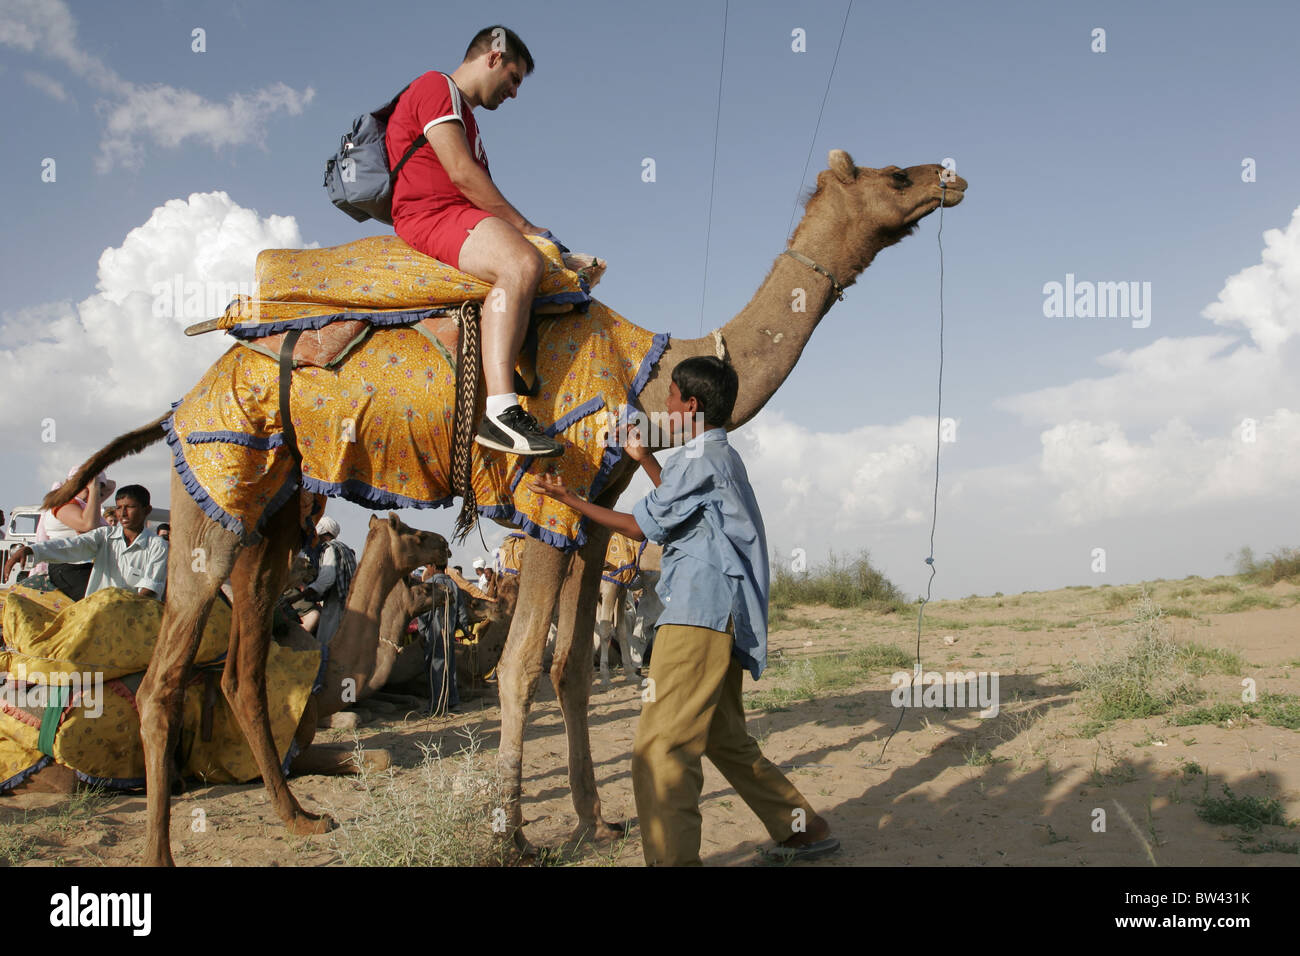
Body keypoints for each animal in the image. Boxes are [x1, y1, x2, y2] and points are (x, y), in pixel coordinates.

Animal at [45, 152, 965, 862]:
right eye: (893, 174)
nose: (949, 176)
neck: (648, 373)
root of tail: (181, 400)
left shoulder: (591, 516)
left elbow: (572, 668)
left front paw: (599, 821)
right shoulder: (548, 507)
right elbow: (523, 665)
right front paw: (512, 835)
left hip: (274, 510)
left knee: (240, 668)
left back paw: (301, 819)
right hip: (215, 480)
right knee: (164, 677)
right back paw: (163, 852)